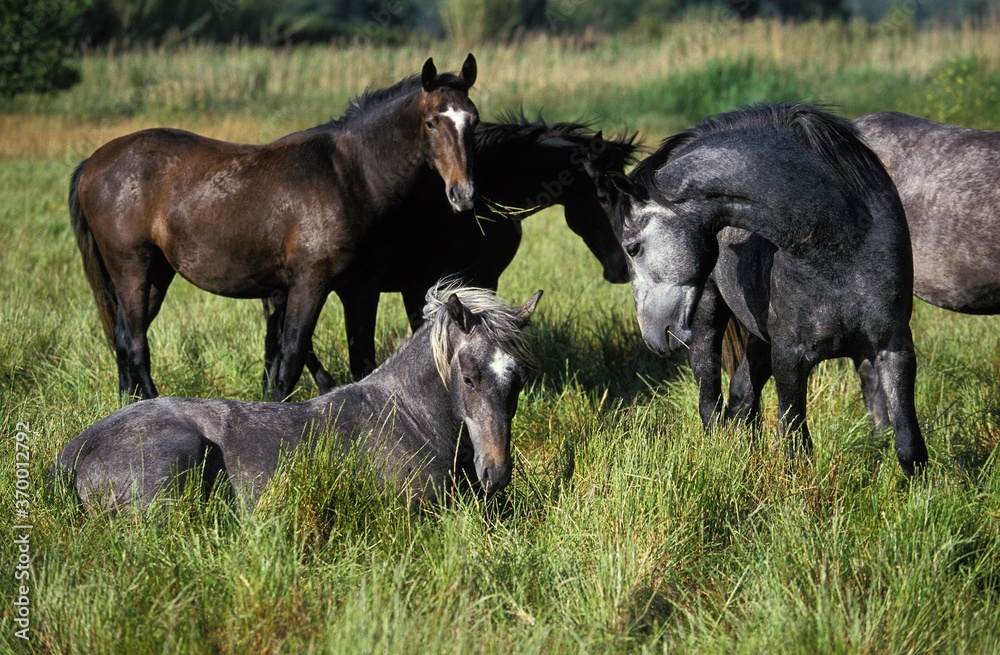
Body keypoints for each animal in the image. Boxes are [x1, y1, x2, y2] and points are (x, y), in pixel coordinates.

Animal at [69, 54, 479, 402]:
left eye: (473, 121)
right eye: (431, 122)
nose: (463, 194)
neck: (349, 176)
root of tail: (92, 162)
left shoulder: (361, 289)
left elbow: (362, 361)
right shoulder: (309, 284)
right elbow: (291, 356)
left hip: (156, 275)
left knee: (124, 339)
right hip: (132, 270)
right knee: (136, 343)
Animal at [607, 102, 928, 476]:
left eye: (632, 247)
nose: (653, 337)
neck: (838, 243)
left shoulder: (893, 348)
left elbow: (909, 446)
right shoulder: (789, 358)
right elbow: (796, 444)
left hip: (759, 340)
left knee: (741, 394)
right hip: (708, 317)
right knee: (710, 395)